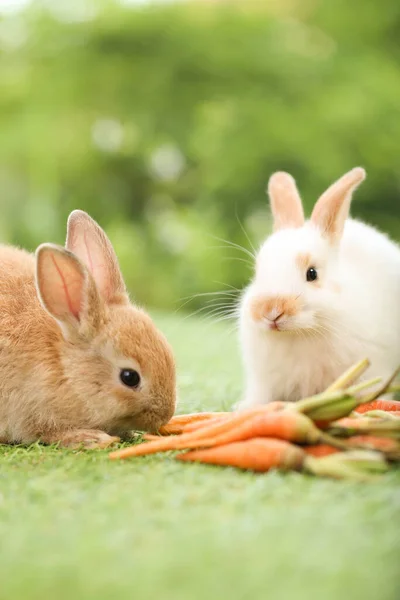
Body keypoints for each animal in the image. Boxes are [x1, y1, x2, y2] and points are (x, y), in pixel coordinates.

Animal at [239, 166, 400, 406]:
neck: (301, 332)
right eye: (257, 272)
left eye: (312, 273)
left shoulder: (373, 367)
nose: (271, 311)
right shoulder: (264, 383)